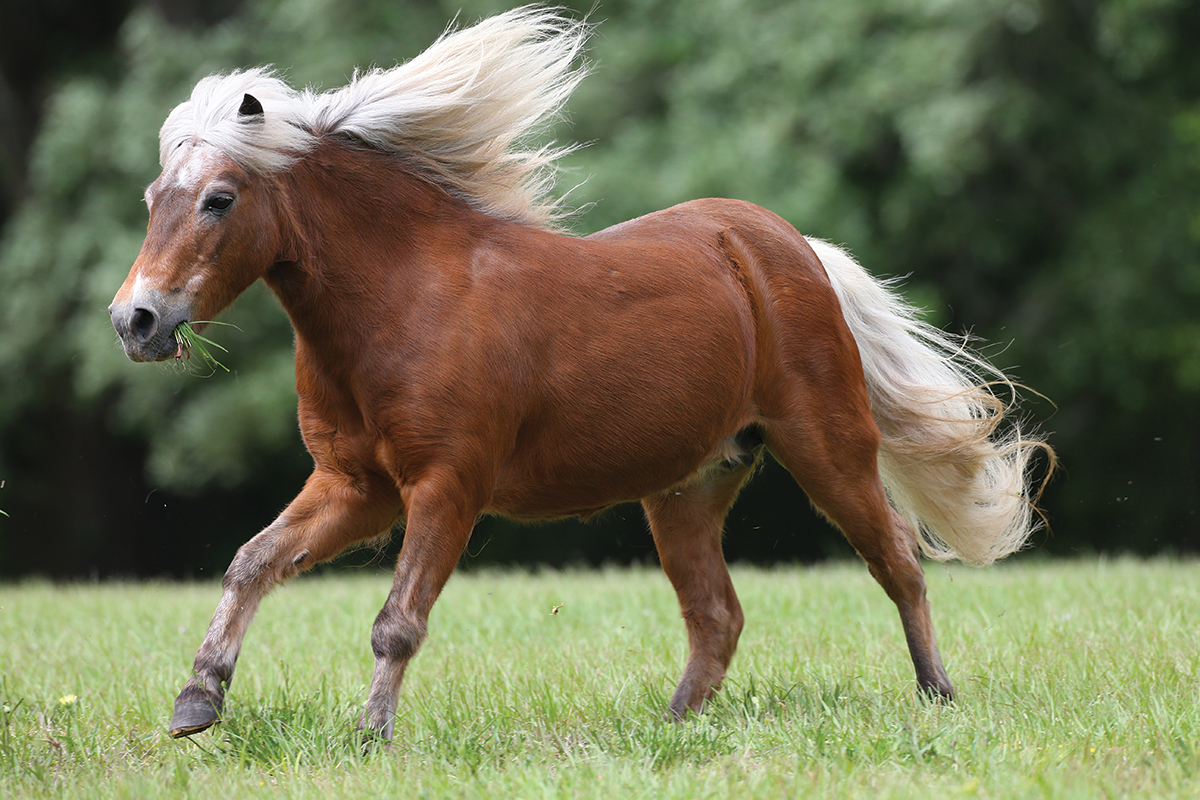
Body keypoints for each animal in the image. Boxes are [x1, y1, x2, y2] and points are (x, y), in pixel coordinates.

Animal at [109, 8, 1053, 741]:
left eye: (219, 199)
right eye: (155, 197)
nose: (135, 320)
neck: (405, 297)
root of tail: (790, 247)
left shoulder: (446, 486)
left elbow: (396, 623)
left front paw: (371, 734)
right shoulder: (356, 487)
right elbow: (251, 563)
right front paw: (197, 700)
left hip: (829, 447)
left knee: (897, 561)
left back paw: (937, 696)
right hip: (689, 488)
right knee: (718, 616)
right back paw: (672, 731)